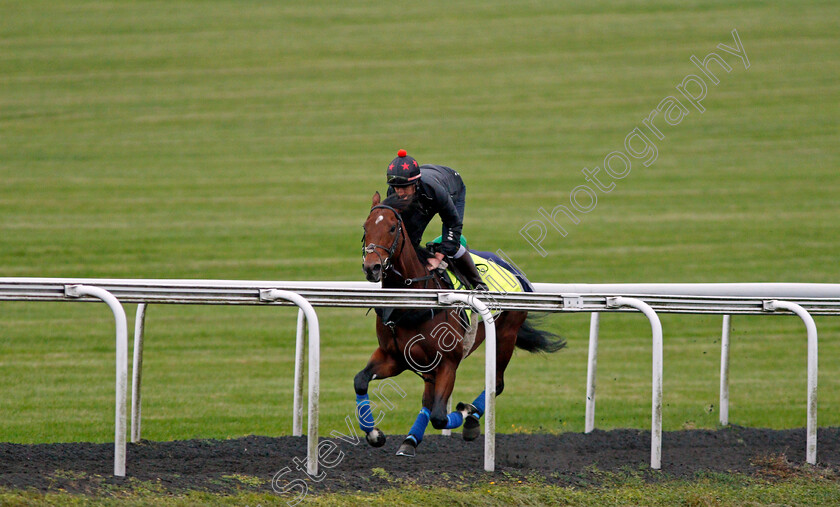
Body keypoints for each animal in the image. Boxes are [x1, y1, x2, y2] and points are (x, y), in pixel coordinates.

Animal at [354, 190, 564, 456]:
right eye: (365, 226)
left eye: (392, 228)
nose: (371, 267)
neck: (414, 302)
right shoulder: (394, 357)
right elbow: (361, 380)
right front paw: (374, 434)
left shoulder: (448, 363)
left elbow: (440, 416)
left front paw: (466, 412)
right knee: (429, 399)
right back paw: (410, 440)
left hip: (506, 336)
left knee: (496, 383)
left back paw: (472, 418)